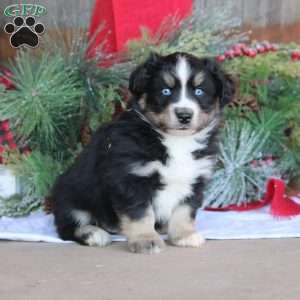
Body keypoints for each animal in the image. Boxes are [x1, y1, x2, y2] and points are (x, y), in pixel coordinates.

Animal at [52, 52, 234, 253]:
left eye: (199, 92)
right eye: (165, 91)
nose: (184, 115)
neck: (176, 141)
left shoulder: (194, 180)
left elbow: (185, 211)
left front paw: (184, 235)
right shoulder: (131, 177)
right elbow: (140, 214)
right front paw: (146, 240)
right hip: (71, 197)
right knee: (67, 226)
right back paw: (94, 233)